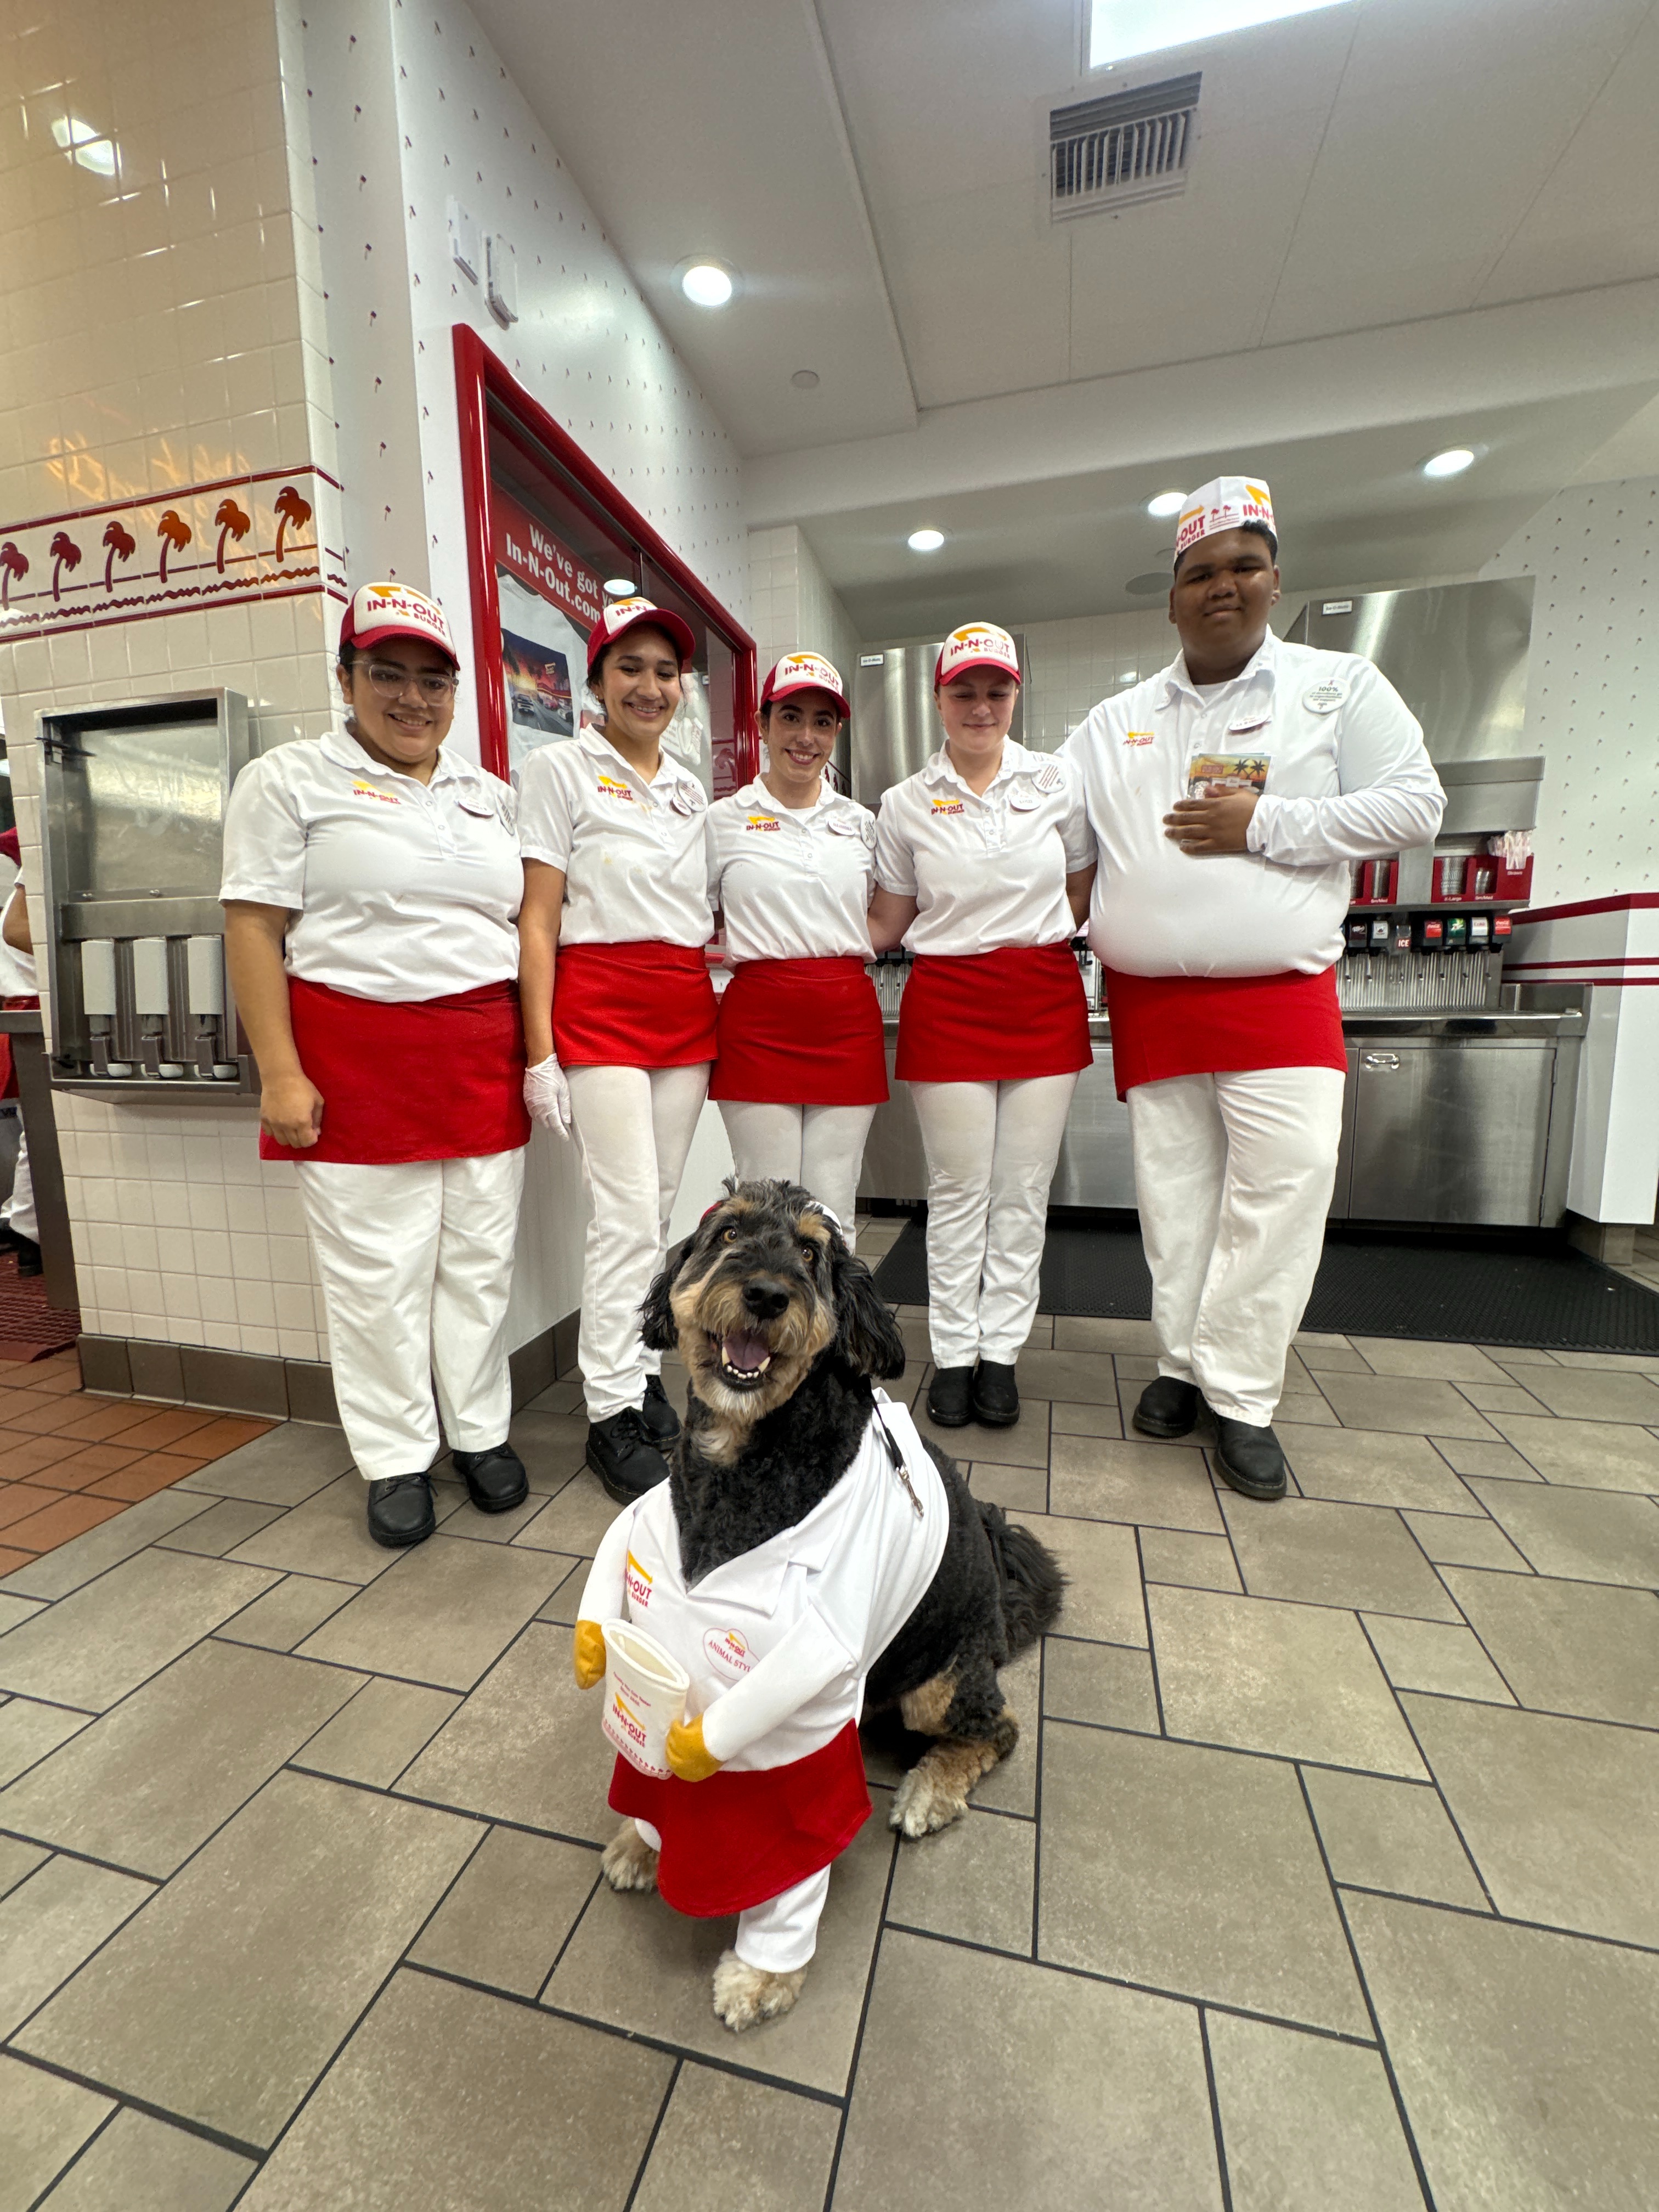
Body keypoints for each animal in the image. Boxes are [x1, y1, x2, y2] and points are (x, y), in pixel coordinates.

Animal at [592, 1177, 1063, 2033]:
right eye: (729, 1232)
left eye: (812, 1252)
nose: (766, 1293)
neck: (743, 1466)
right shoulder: (667, 1652)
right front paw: (644, 1841)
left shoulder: (805, 1707)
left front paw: (762, 1972)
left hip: (939, 1683)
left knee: (998, 1727)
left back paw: (931, 1789)